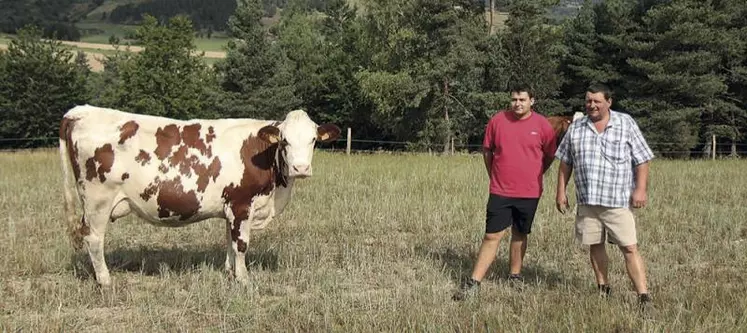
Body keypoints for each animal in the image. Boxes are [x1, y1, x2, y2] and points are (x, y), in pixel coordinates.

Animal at [60, 104, 340, 286]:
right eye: (284, 141)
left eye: (313, 140)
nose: (300, 168)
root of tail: (82, 111)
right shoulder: (241, 204)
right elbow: (241, 244)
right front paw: (245, 280)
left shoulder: (231, 208)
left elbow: (229, 241)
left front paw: (230, 274)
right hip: (98, 201)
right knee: (94, 239)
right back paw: (105, 281)